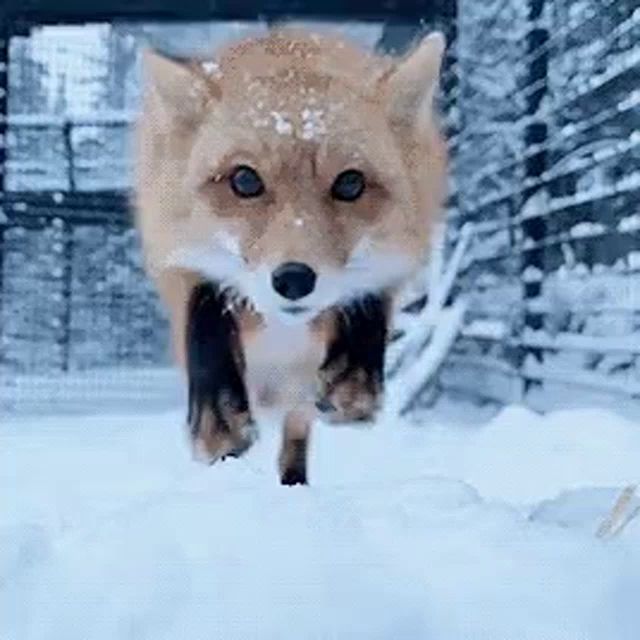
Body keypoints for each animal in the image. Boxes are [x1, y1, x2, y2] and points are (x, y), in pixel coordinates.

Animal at [133, 26, 448, 484]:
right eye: (245, 180)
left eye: (350, 183)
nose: (294, 280)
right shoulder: (173, 252)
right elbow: (204, 315)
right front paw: (217, 423)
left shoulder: (402, 253)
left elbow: (368, 297)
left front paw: (353, 386)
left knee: (295, 440)